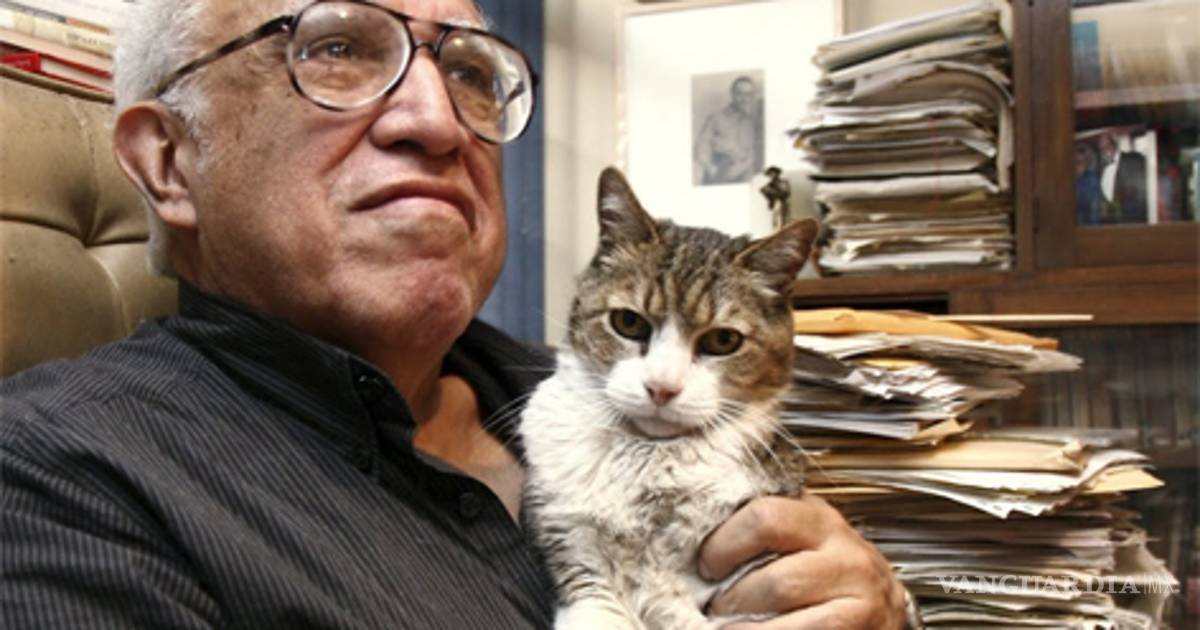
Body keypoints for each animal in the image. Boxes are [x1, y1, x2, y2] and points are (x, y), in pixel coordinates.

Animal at [519, 167, 818, 630]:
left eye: (723, 340)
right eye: (628, 322)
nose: (662, 386)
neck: (647, 456)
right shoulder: (570, 533)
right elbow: (595, 597)